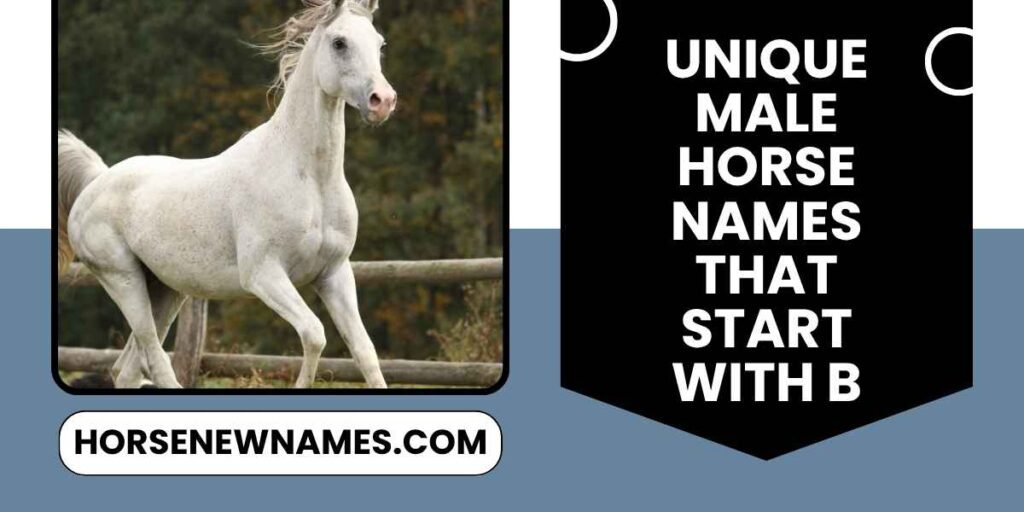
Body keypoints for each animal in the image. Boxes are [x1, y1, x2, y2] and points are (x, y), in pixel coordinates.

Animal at [56, 0, 396, 389]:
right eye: (339, 43)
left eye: (380, 44)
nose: (383, 101)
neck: (310, 179)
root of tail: (96, 181)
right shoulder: (263, 275)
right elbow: (314, 335)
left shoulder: (334, 274)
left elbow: (365, 352)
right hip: (123, 281)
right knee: (155, 360)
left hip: (166, 289)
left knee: (126, 369)